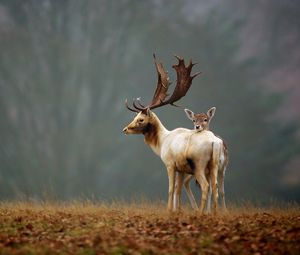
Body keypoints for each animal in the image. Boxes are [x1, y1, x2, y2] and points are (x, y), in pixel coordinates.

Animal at [122, 54, 223, 214]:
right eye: (135, 116)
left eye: (140, 119)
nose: (125, 129)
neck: (162, 142)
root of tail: (215, 142)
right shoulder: (181, 168)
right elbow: (178, 189)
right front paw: (178, 211)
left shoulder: (169, 164)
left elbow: (170, 189)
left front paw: (169, 210)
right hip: (214, 165)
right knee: (215, 187)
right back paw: (214, 213)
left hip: (199, 164)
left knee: (206, 186)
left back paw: (201, 213)